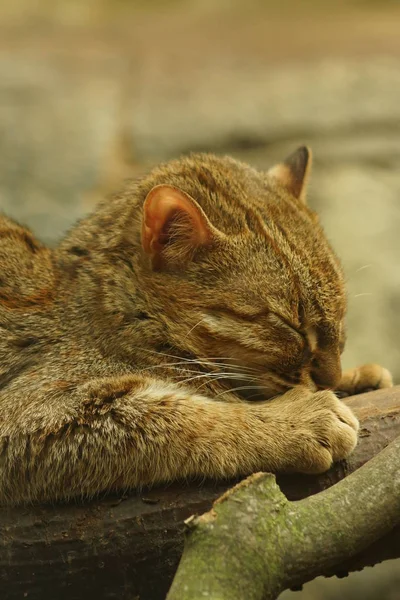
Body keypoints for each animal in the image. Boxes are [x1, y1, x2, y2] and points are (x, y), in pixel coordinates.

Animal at [0, 148, 390, 504]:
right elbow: (186, 416)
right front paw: (297, 422)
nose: (332, 378)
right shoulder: (29, 416)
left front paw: (355, 378)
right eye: (288, 324)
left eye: (341, 312)